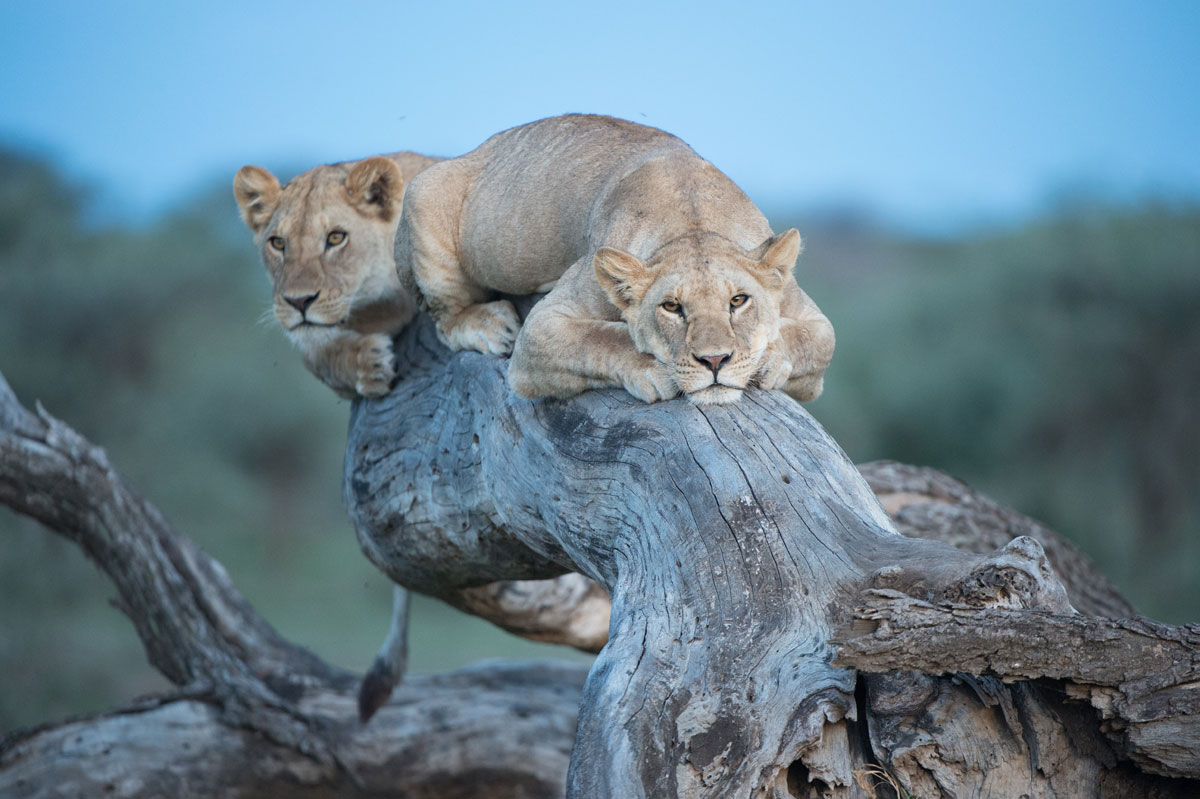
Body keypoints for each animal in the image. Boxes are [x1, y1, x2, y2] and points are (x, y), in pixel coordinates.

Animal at [394, 114, 834, 405]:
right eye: (671, 307)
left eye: (738, 301)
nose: (714, 361)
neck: (693, 223)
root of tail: (476, 150)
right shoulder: (542, 328)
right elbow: (601, 338)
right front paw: (655, 370)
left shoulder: (808, 314)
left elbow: (814, 340)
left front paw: (767, 361)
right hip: (422, 194)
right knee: (446, 319)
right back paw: (490, 326)